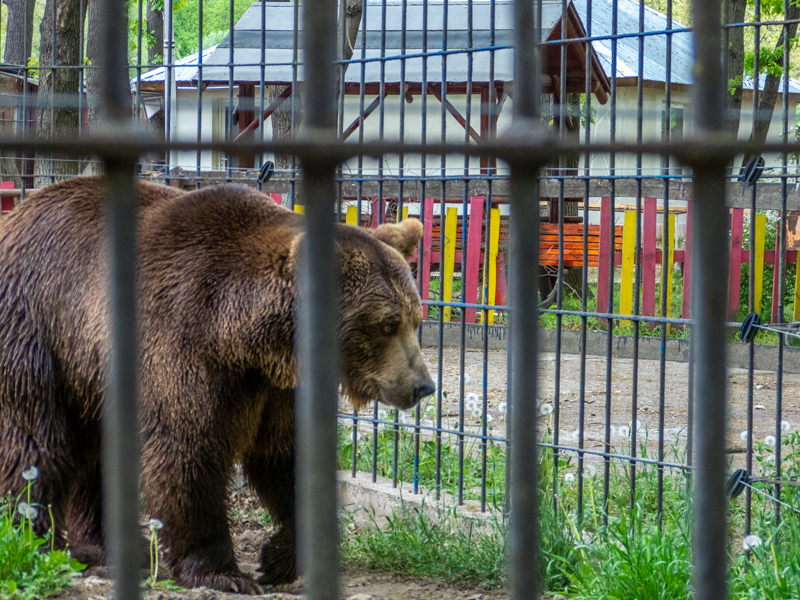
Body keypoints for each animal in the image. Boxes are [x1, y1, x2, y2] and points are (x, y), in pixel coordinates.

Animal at [0, 175, 433, 594]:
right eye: (387, 324)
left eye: (417, 317)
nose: (422, 386)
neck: (242, 339)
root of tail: (18, 213)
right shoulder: (180, 345)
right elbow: (188, 452)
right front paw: (223, 572)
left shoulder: (277, 389)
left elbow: (286, 454)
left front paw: (277, 558)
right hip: (38, 332)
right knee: (37, 442)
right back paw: (37, 539)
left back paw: (118, 547)